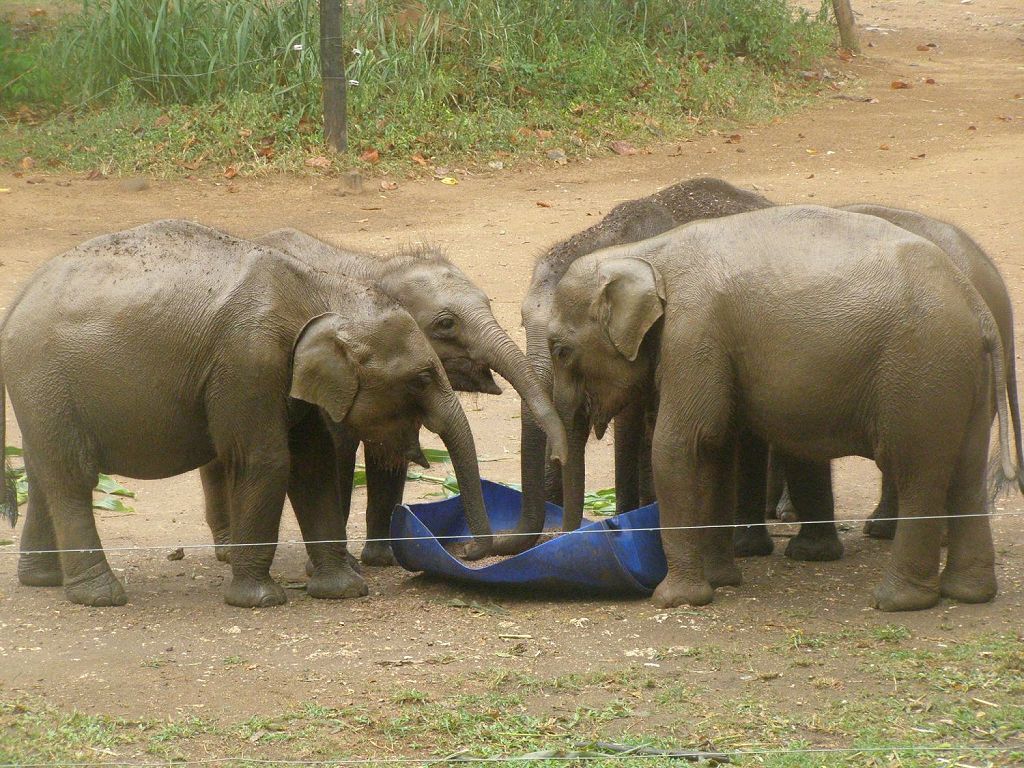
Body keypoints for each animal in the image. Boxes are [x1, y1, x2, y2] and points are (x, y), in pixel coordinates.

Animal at [2, 219, 491, 610]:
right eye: (422, 378)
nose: (469, 550)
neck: (320, 286)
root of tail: (16, 301)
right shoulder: (248, 361)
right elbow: (268, 462)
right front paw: (260, 600)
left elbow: (311, 465)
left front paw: (343, 590)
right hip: (45, 379)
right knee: (72, 475)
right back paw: (101, 596)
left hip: (41, 393)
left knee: (44, 470)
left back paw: (43, 580)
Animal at [544, 204, 1015, 614]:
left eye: (561, 350)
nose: (557, 541)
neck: (646, 252)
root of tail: (979, 309)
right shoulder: (713, 347)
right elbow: (716, 448)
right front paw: (722, 581)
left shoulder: (694, 332)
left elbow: (682, 445)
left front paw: (675, 600)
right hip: (961, 377)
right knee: (967, 472)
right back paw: (969, 593)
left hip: (922, 370)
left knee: (918, 470)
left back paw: (896, 601)